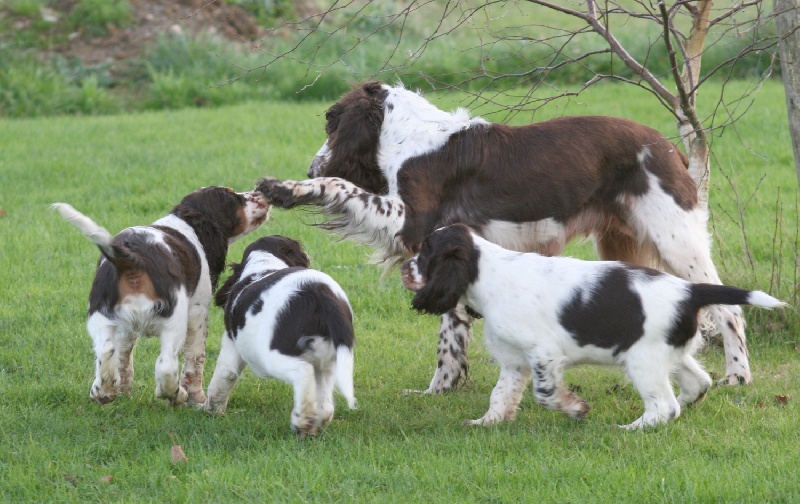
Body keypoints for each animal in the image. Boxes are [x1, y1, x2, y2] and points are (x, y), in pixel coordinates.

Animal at [54, 186, 272, 406]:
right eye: (232, 197)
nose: (261, 193)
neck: (186, 224)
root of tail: (132, 258)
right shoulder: (198, 311)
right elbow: (195, 357)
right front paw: (196, 398)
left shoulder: (125, 327)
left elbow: (123, 357)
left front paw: (123, 393)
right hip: (174, 319)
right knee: (166, 365)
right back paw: (175, 395)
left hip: (100, 314)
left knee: (106, 349)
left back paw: (102, 391)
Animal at [205, 234, 358, 436]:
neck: (264, 263)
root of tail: (318, 294)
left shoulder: (231, 342)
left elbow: (224, 375)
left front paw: (211, 409)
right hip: (329, 359)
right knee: (325, 403)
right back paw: (311, 425)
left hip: (271, 355)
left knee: (303, 371)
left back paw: (302, 421)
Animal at [404, 225, 784, 430]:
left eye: (424, 253)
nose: (405, 267)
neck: (488, 271)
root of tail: (689, 290)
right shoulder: (514, 361)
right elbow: (501, 394)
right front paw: (488, 422)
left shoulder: (544, 354)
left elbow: (545, 393)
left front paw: (576, 409)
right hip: (666, 354)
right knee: (697, 383)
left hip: (643, 361)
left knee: (663, 406)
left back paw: (630, 429)